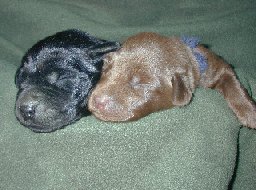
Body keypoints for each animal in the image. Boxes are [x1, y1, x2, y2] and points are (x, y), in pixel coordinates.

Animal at [88, 32, 256, 128]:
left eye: (142, 83)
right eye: (106, 68)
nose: (97, 100)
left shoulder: (216, 67)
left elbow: (232, 82)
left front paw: (250, 114)